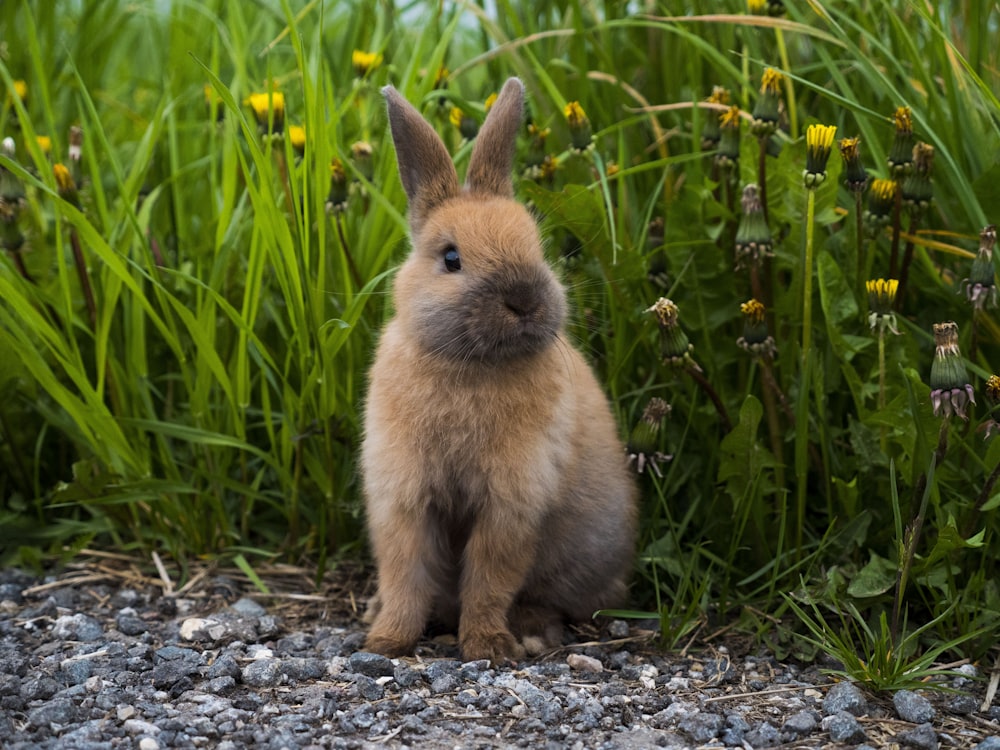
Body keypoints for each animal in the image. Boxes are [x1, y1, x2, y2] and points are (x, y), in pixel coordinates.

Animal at [364, 76, 636, 664]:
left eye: (536, 246)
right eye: (450, 258)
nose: (525, 299)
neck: (471, 364)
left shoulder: (511, 503)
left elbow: (490, 579)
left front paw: (488, 647)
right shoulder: (403, 497)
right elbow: (404, 573)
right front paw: (386, 640)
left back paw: (533, 631)